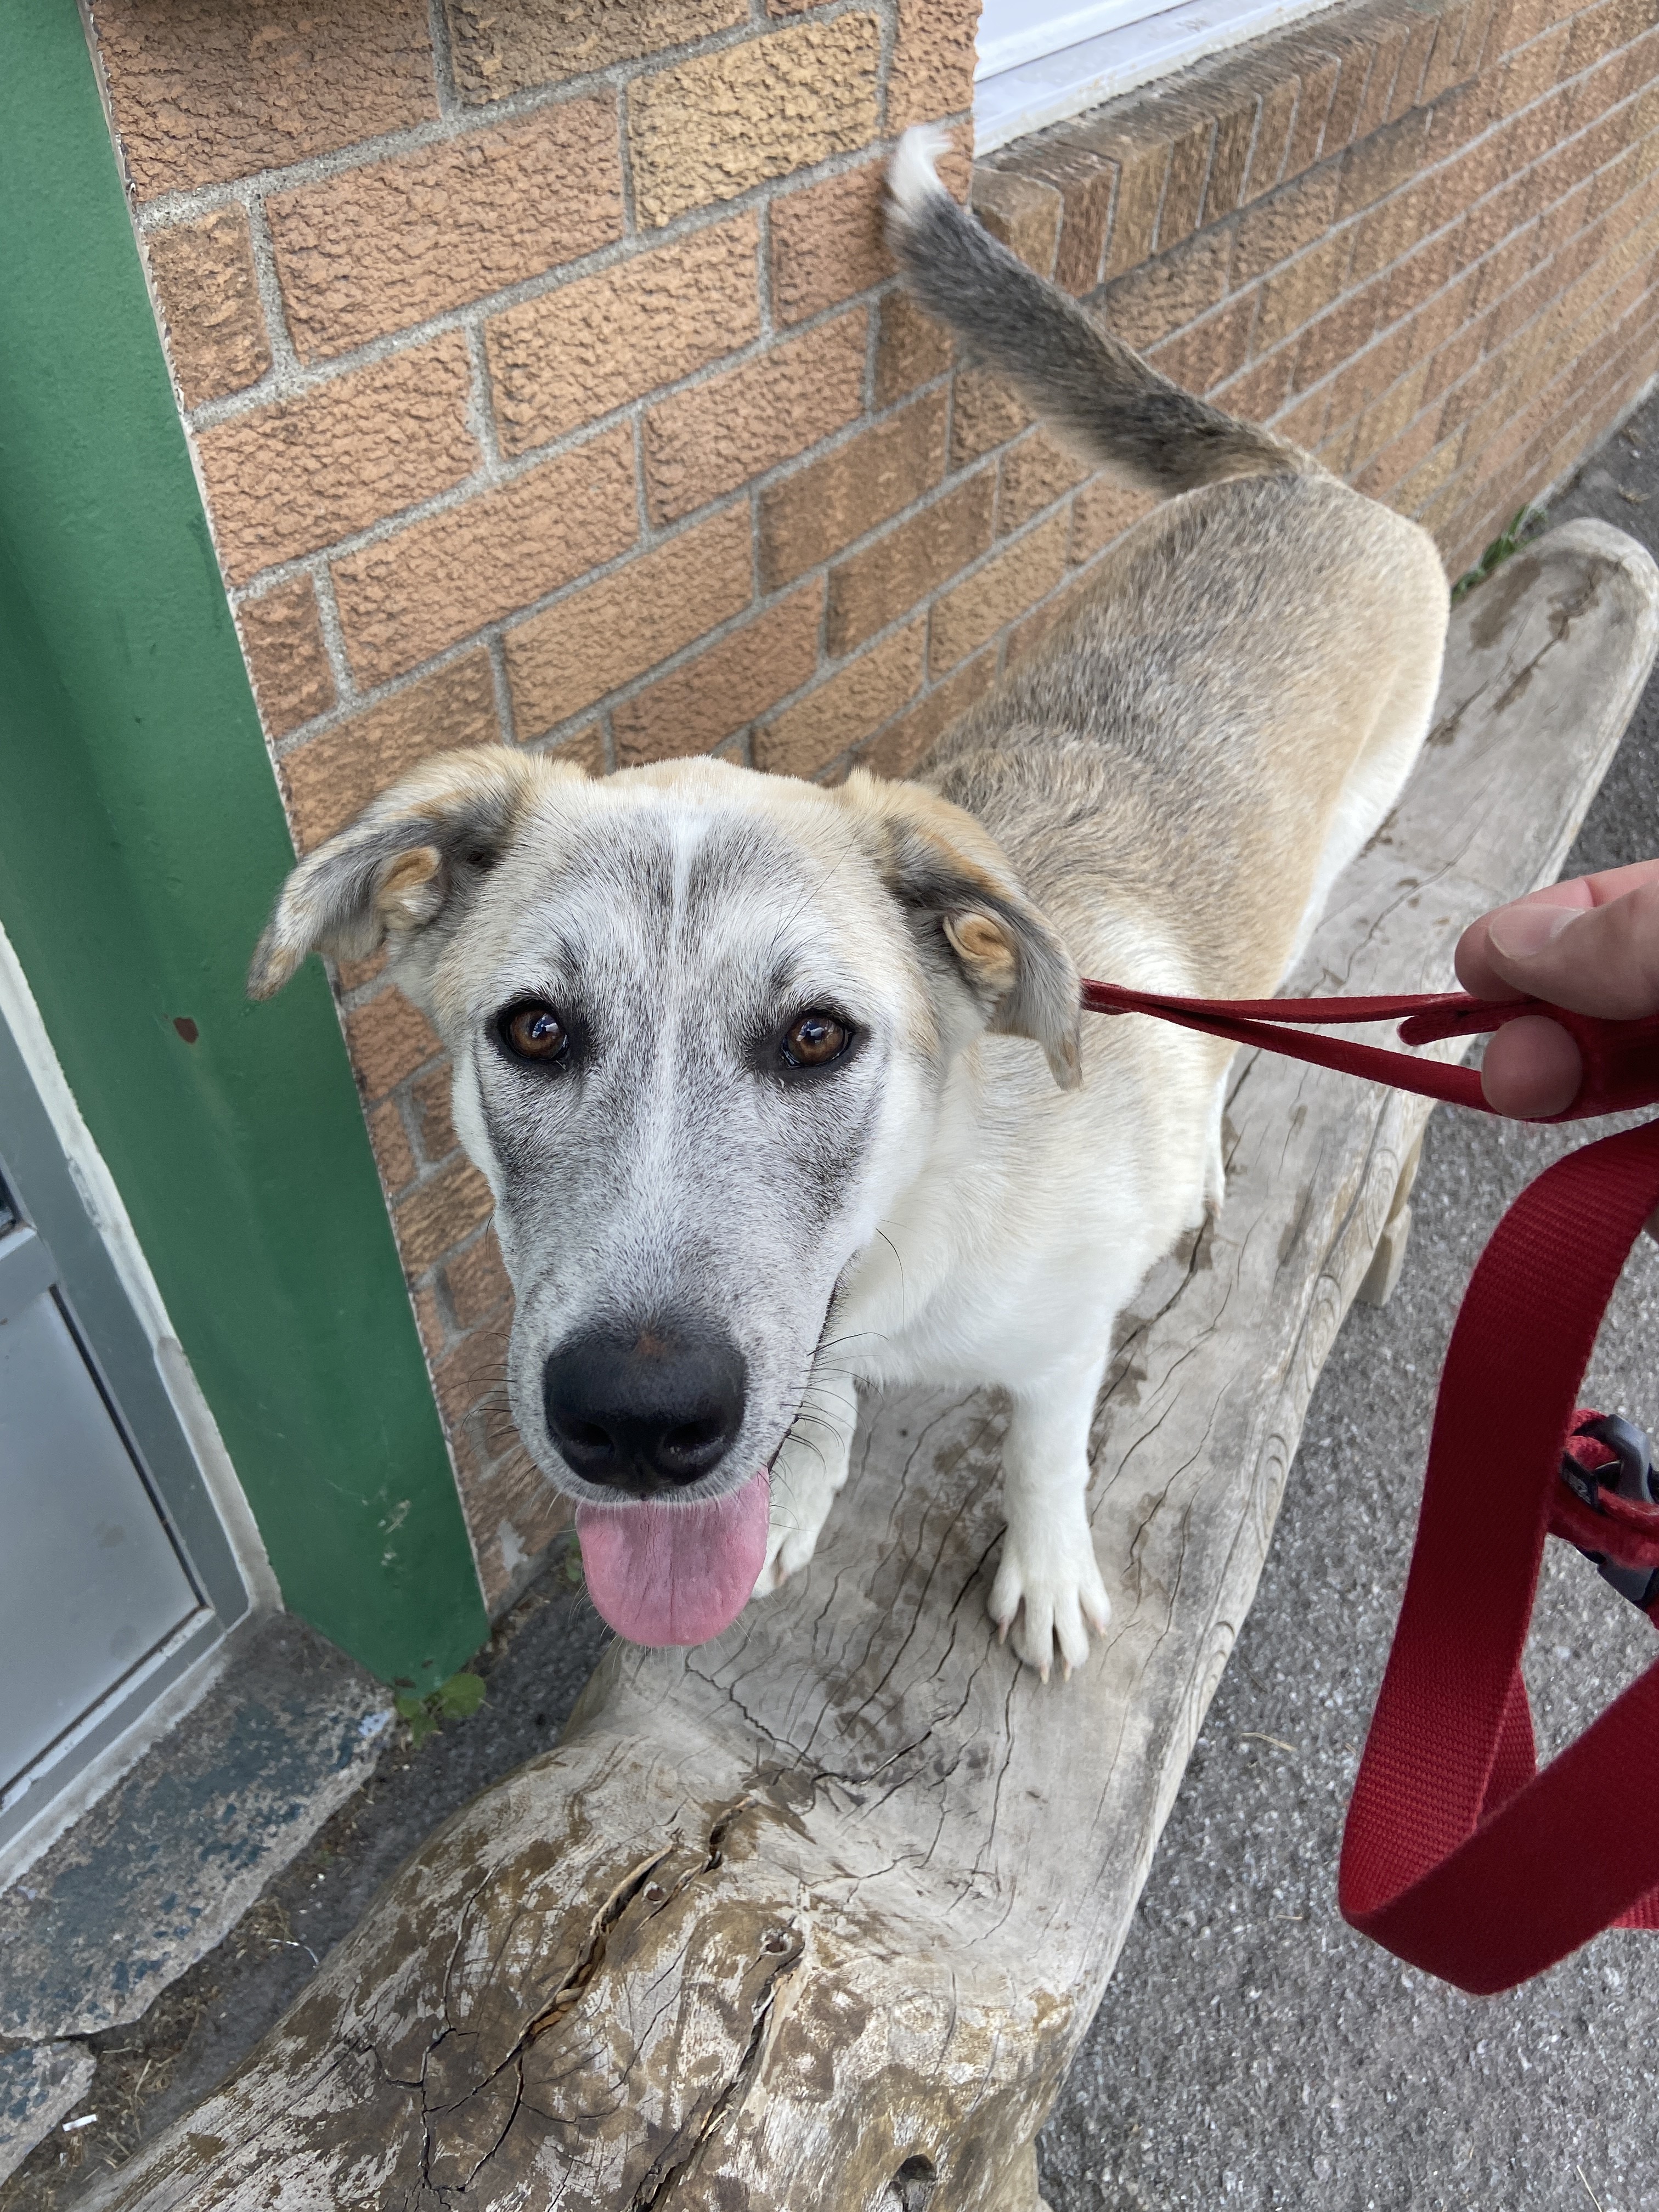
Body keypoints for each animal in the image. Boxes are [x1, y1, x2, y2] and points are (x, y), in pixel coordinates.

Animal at [249, 128, 1449, 1679]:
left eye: (819, 1037)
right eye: (533, 1031)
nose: (638, 1423)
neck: (917, 1238)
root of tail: (1302, 476)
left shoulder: (1063, 1342)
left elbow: (1046, 1452)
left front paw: (1047, 1570)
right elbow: (820, 1412)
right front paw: (805, 1483)